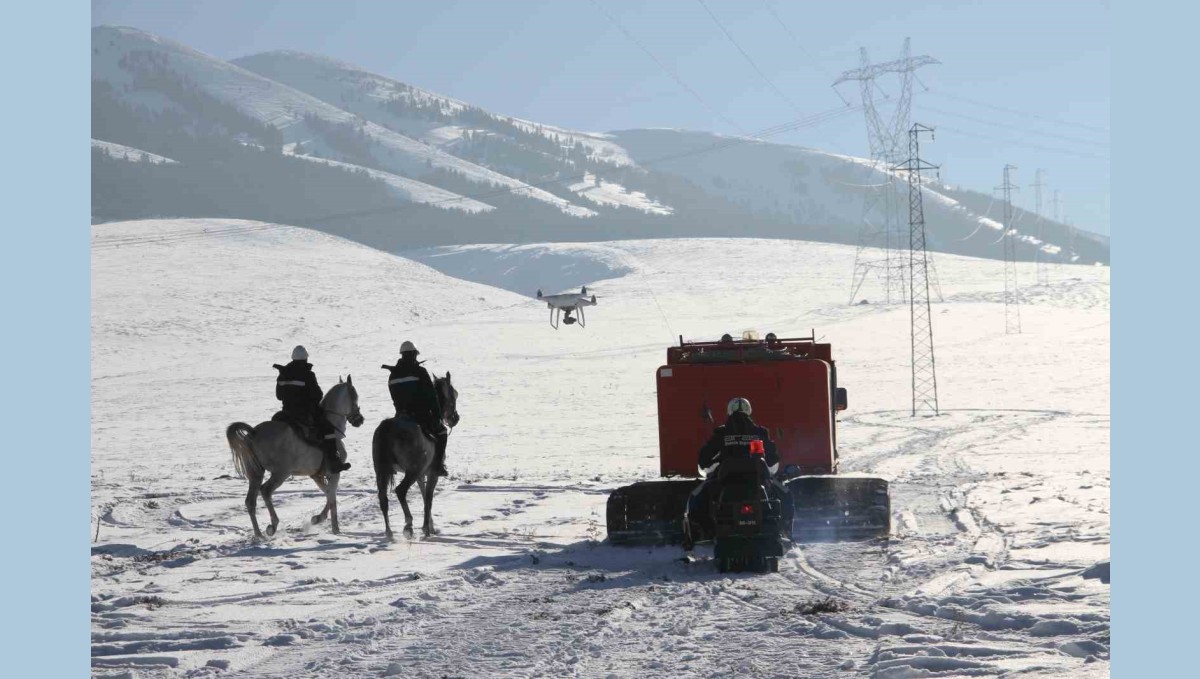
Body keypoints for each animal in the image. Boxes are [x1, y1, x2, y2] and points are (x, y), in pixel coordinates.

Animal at [225, 379, 362, 542]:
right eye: (355, 396)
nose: (360, 419)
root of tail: (254, 432)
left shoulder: (316, 475)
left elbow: (329, 493)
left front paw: (318, 518)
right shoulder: (334, 473)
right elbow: (332, 496)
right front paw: (335, 529)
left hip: (256, 473)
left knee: (250, 501)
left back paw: (259, 535)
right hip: (280, 473)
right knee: (265, 491)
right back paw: (273, 526)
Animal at [376, 374, 460, 539]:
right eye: (454, 395)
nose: (456, 418)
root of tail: (388, 426)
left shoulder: (422, 474)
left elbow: (423, 495)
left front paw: (431, 527)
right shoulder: (432, 473)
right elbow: (428, 500)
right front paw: (426, 529)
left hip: (381, 471)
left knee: (383, 498)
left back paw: (389, 532)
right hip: (412, 471)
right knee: (400, 491)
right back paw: (408, 525)